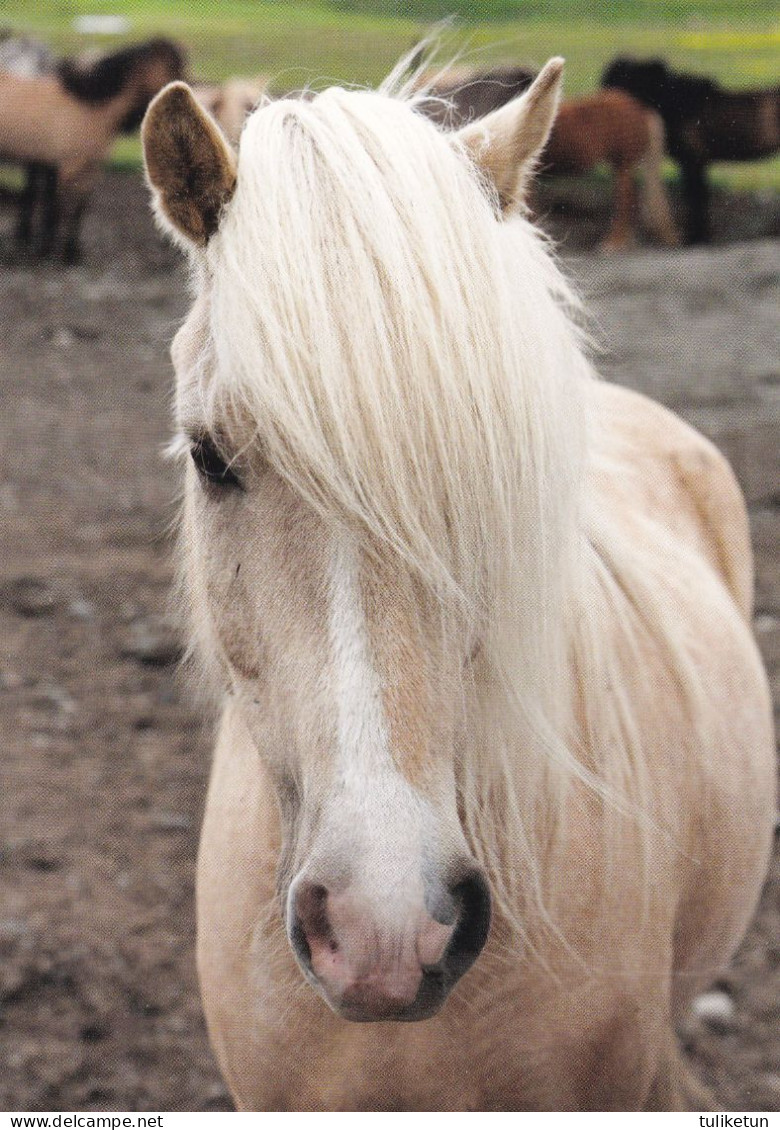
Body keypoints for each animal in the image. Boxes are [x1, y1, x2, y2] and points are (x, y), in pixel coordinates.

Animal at [0, 36, 184, 261]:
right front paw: (48, 250)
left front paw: (72, 252)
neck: (89, 106)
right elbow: (59, 208)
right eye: (172, 66)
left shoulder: (90, 168)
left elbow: (79, 208)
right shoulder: (68, 167)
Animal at [601, 56, 777, 241]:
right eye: (611, 79)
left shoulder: (693, 161)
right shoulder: (696, 164)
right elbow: (697, 197)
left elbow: (696, 198)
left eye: (628, 79)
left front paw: (696, 237)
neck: (676, 103)